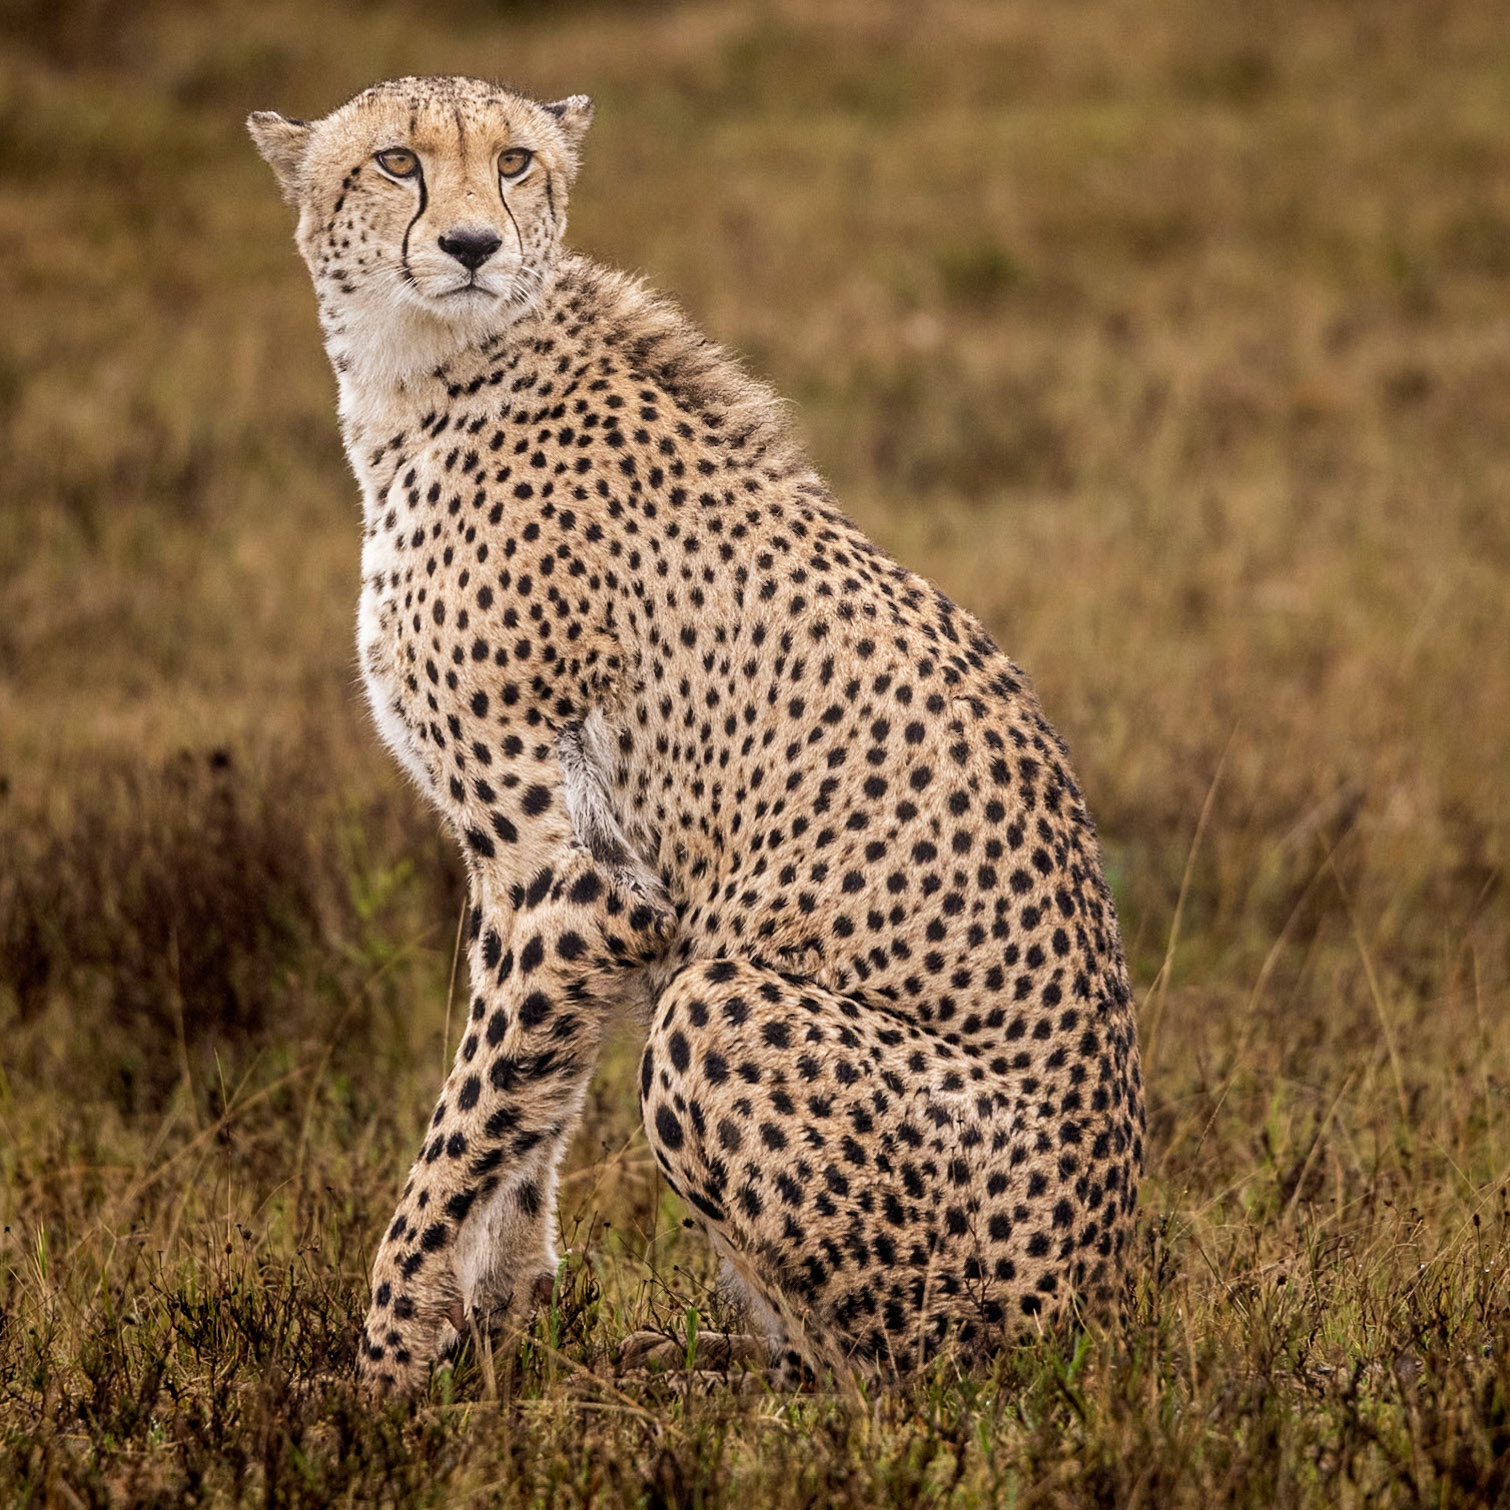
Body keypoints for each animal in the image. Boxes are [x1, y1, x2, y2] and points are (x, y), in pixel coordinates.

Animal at [248, 74, 1144, 1395]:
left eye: (514, 162)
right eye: (397, 162)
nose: (471, 245)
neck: (425, 378)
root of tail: (1107, 1310)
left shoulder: (578, 883)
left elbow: (464, 1126)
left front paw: (384, 1368)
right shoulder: (527, 886)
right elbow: (526, 1111)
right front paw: (499, 1337)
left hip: (724, 1013)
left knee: (892, 1386)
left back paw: (706, 1382)